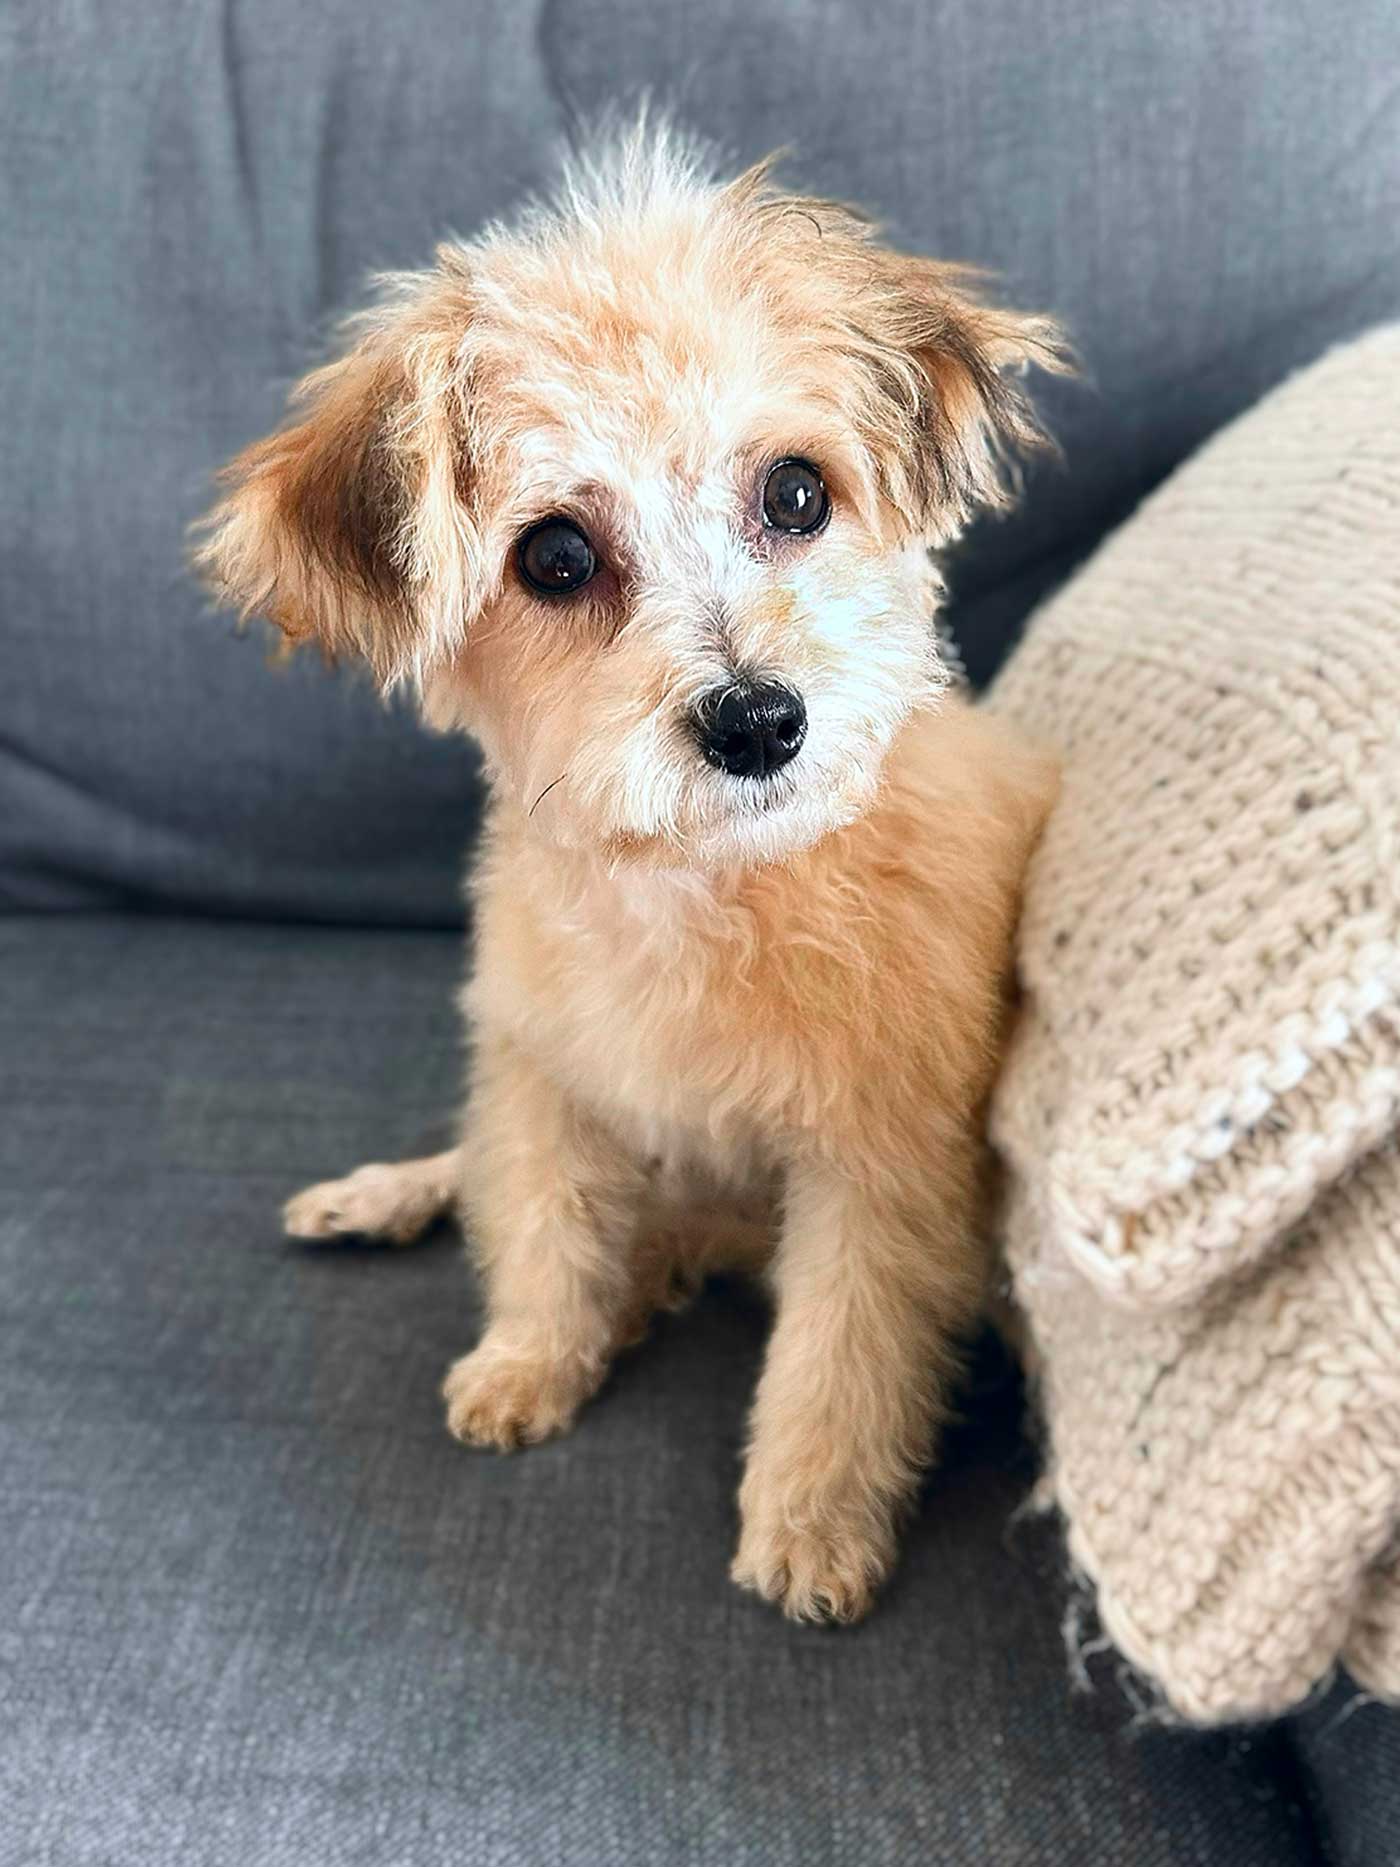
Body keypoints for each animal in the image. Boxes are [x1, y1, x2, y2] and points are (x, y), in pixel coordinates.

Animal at [197, 127, 1067, 1620]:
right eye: (554, 554)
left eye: (795, 492)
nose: (758, 720)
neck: (702, 893)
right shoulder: (546, 1075)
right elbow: (543, 1229)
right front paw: (531, 1360)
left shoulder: (876, 1175)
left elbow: (838, 1357)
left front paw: (811, 1520)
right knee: (480, 1166)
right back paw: (384, 1197)